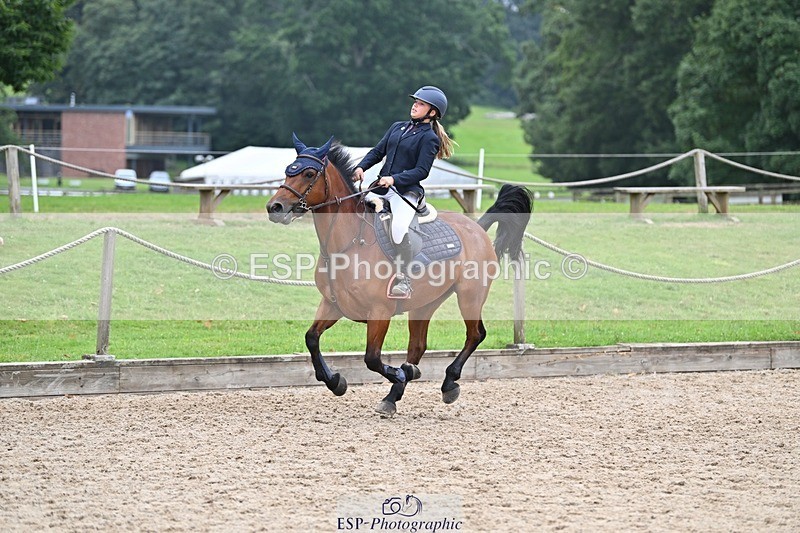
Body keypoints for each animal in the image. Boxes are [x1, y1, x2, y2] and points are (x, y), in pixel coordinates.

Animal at [267, 134, 533, 415]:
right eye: (287, 171)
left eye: (308, 173)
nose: (274, 207)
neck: (349, 243)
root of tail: (477, 228)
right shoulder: (332, 304)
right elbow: (312, 339)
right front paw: (336, 382)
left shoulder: (379, 312)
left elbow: (372, 358)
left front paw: (399, 374)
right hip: (425, 303)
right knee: (418, 345)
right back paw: (395, 393)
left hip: (470, 296)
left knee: (475, 334)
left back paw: (447, 383)